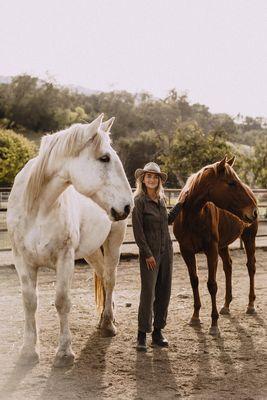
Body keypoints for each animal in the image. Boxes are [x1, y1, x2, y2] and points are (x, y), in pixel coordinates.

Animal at [7, 114, 134, 368]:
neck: (38, 209)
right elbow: (29, 302)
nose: (127, 206)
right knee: (102, 278)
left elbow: (62, 301)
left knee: (109, 280)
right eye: (104, 158)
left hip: (114, 243)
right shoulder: (21, 260)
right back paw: (106, 317)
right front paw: (28, 351)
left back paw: (108, 324)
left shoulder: (65, 258)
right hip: (92, 251)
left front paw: (64, 353)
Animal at [174, 155, 260, 334]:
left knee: (251, 267)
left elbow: (212, 285)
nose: (254, 211)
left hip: (249, 238)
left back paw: (250, 305)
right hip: (223, 246)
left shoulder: (211, 250)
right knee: (228, 267)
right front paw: (195, 316)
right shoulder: (186, 251)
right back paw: (226, 305)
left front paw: (214, 324)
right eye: (231, 183)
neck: (192, 215)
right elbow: (194, 281)